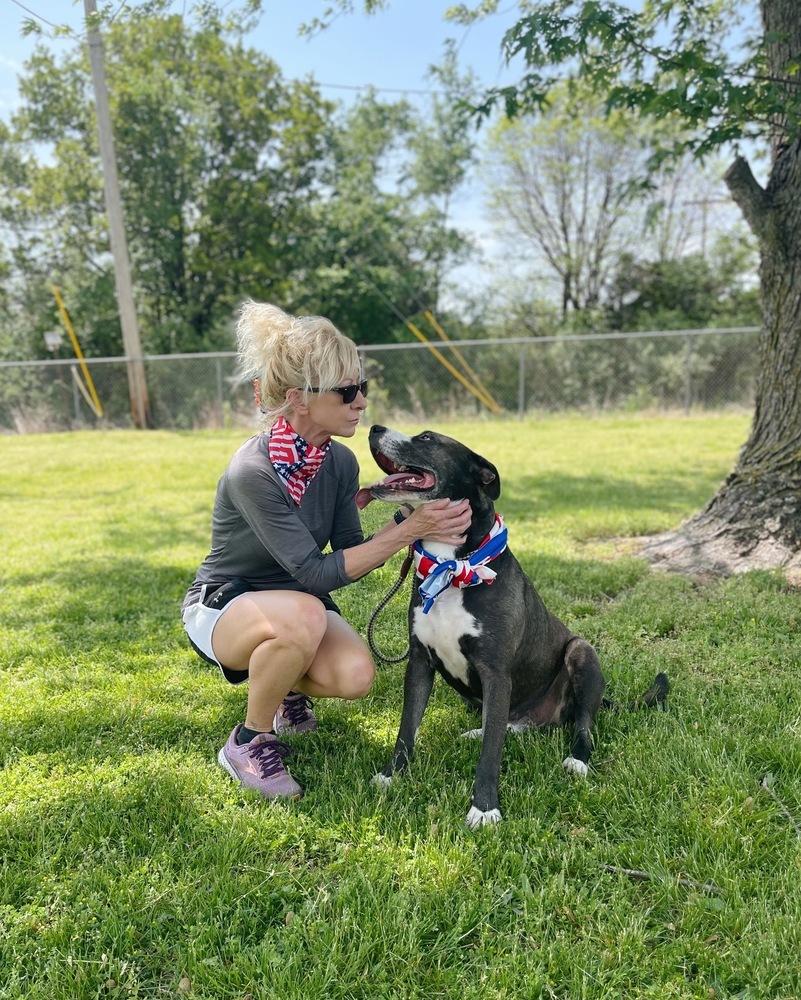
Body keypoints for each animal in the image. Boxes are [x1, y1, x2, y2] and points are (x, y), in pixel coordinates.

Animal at [356, 424, 668, 828]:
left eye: (426, 438)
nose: (374, 427)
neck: (455, 568)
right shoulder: (420, 664)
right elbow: (406, 729)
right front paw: (391, 776)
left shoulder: (495, 673)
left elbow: (491, 753)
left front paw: (485, 808)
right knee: (504, 724)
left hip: (581, 652)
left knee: (582, 724)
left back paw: (577, 759)